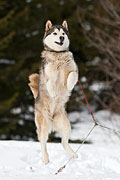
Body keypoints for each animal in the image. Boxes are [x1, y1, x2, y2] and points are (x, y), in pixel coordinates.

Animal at [28, 20, 78, 165]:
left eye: (63, 33)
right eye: (55, 33)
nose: (61, 37)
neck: (58, 55)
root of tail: (51, 121)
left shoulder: (74, 70)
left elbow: (72, 75)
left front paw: (69, 84)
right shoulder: (48, 74)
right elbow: (50, 82)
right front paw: (53, 93)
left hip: (66, 125)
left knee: (63, 142)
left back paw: (73, 154)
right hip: (43, 126)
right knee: (43, 143)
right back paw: (45, 159)